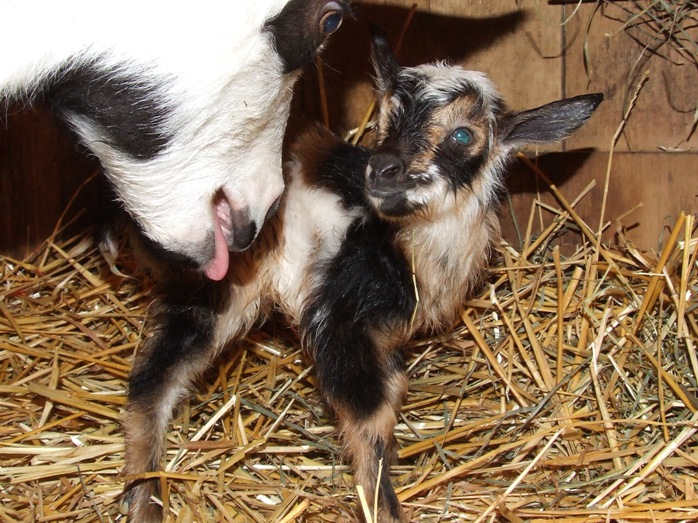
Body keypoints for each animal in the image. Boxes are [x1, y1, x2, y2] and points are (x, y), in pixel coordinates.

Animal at [124, 31, 602, 522]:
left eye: (462, 135)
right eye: (388, 114)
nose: (383, 169)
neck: (408, 247)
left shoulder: (383, 338)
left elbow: (393, 390)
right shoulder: (341, 319)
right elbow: (370, 416)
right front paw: (384, 506)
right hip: (219, 285)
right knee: (153, 381)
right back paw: (144, 498)